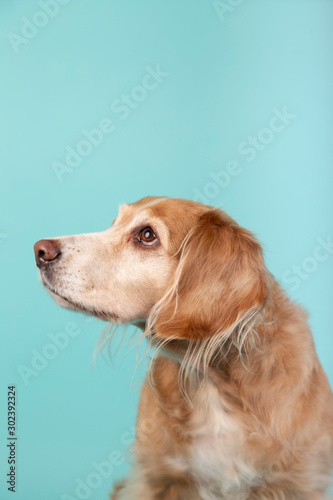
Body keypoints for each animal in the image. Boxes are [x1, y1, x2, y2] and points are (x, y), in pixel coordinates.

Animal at [33, 196, 332, 500]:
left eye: (147, 235)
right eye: (114, 223)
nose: (40, 250)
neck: (214, 383)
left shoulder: (300, 482)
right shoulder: (155, 478)